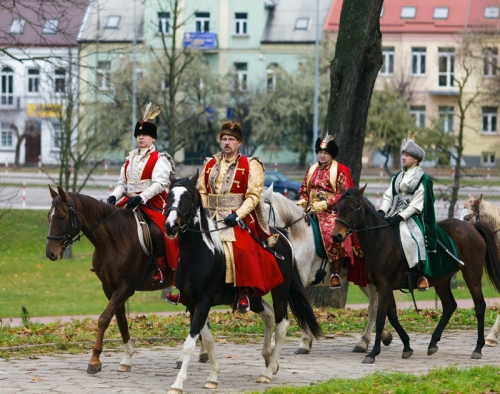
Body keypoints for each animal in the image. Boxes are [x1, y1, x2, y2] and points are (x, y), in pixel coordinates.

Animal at [45, 186, 174, 374]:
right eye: (49, 216)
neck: (114, 239)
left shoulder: (125, 288)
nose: (51, 253)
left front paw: (94, 360)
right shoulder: (109, 288)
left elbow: (104, 319)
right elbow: (121, 321)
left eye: (61, 216)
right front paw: (126, 359)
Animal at [162, 174, 322, 392]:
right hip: (252, 297)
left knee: (281, 325)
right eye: (168, 196)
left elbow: (190, 343)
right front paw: (213, 376)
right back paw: (268, 358)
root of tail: (281, 235)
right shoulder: (193, 304)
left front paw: (178, 383)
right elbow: (208, 339)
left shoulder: (203, 302)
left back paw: (268, 372)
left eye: (187, 198)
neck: (199, 254)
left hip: (281, 290)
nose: (170, 226)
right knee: (268, 316)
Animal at [330, 186, 500, 364]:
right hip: (442, 279)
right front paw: (406, 346)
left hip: (471, 273)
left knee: (479, 305)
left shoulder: (384, 286)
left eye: (352, 208)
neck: (380, 240)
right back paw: (433, 343)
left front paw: (373, 353)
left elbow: (381, 318)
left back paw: (478, 348)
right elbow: (392, 316)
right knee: (449, 305)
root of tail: (473, 228)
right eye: (337, 208)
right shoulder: (383, 287)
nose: (336, 236)